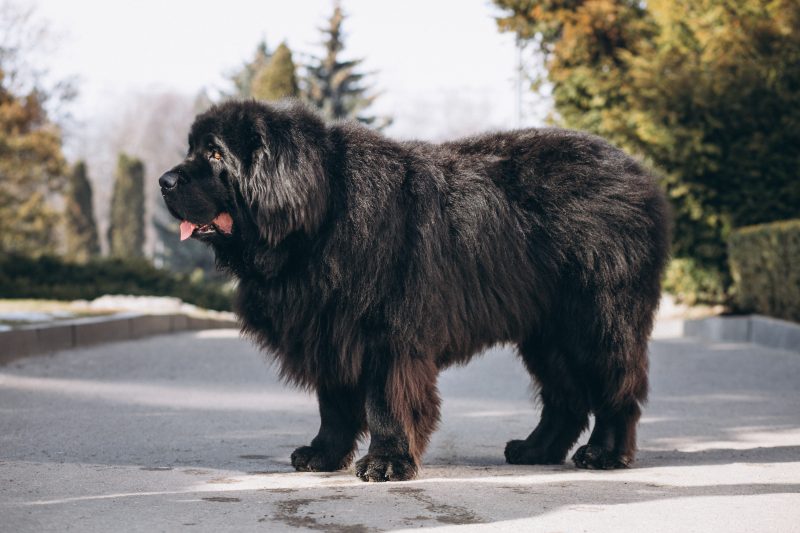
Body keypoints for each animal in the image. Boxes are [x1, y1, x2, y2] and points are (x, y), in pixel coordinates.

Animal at [159, 100, 672, 482]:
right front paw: (324, 455)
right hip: (546, 330)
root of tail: (640, 176)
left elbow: (385, 401)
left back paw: (604, 454)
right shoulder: (329, 329)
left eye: (216, 155)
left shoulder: (386, 333)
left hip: (596, 319)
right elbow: (335, 405)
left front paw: (387, 462)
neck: (321, 216)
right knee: (565, 396)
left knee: (614, 387)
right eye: (192, 149)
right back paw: (535, 449)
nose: (164, 181)